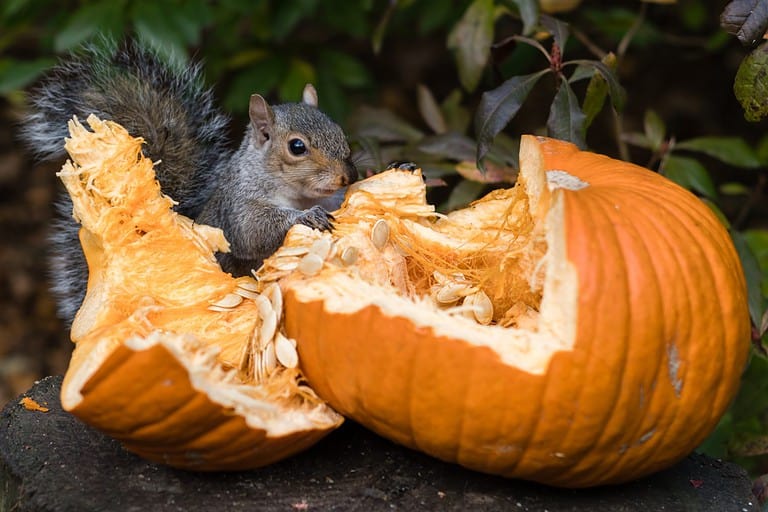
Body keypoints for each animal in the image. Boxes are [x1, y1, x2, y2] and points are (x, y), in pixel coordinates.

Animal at [21, 40, 358, 324]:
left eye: (339, 130)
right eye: (297, 147)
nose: (348, 176)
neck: (297, 193)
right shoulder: (239, 205)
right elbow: (253, 233)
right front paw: (307, 217)